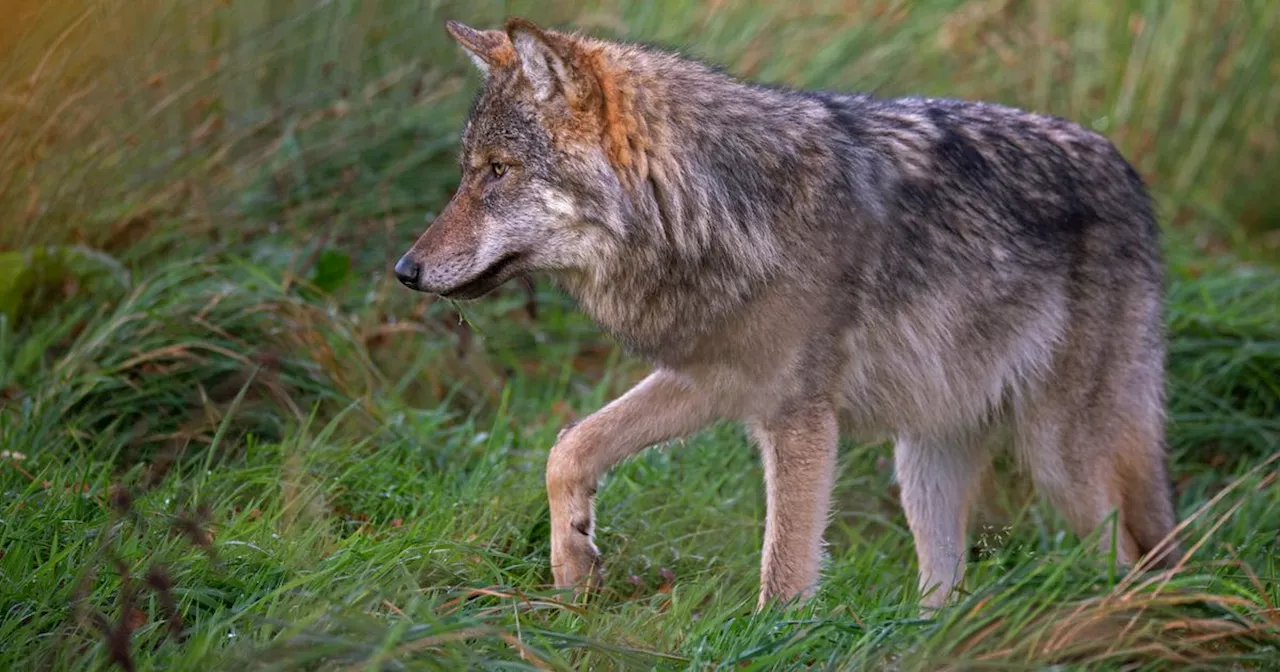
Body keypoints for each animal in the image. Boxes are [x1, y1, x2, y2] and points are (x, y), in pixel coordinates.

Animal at [394, 18, 1182, 609]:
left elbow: (784, 571)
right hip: (925, 459)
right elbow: (568, 448)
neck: (715, 209)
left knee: (1134, 559)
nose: (405, 271)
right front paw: (574, 564)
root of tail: (1127, 172)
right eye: (468, 171)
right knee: (946, 592)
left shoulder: (799, 418)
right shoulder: (710, 380)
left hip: (1061, 460)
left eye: (498, 171)